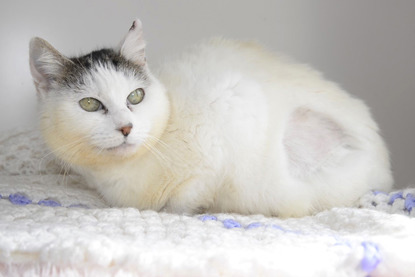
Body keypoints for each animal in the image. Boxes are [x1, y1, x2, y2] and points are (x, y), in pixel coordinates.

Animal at [28, 19, 394, 217]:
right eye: (90, 104)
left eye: (136, 97)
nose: (126, 127)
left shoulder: (233, 103)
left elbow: (187, 195)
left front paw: (180, 211)